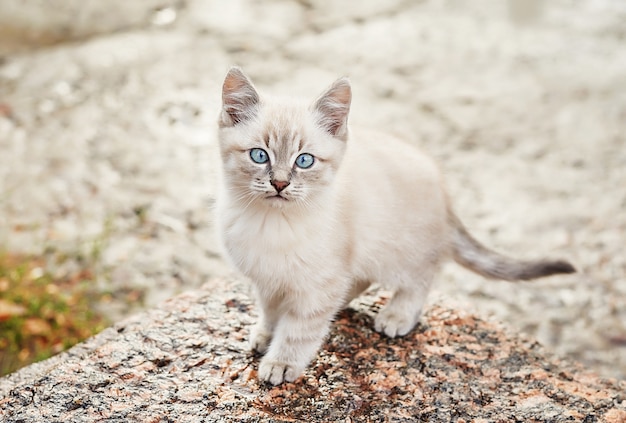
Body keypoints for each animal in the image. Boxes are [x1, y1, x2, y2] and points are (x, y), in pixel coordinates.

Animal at [213, 68, 572, 386]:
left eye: (304, 160)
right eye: (260, 156)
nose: (279, 184)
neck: (272, 223)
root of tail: (445, 196)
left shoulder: (319, 283)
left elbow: (298, 330)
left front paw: (281, 363)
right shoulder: (269, 279)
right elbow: (272, 312)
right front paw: (265, 335)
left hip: (400, 252)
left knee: (421, 279)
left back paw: (396, 315)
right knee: (361, 280)